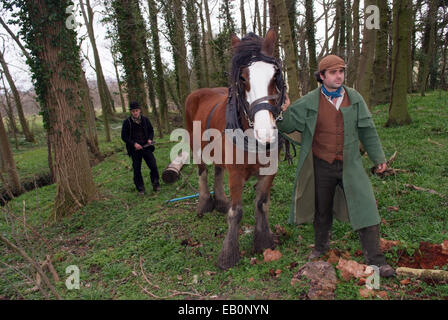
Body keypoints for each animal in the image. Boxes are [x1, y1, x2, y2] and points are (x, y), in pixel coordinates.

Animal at [185, 29, 288, 270]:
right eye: (243, 78)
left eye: (275, 75)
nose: (266, 134)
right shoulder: (236, 173)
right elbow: (236, 212)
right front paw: (228, 254)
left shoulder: (270, 171)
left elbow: (261, 204)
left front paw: (263, 242)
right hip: (196, 147)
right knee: (203, 171)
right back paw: (205, 203)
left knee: (217, 169)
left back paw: (220, 201)